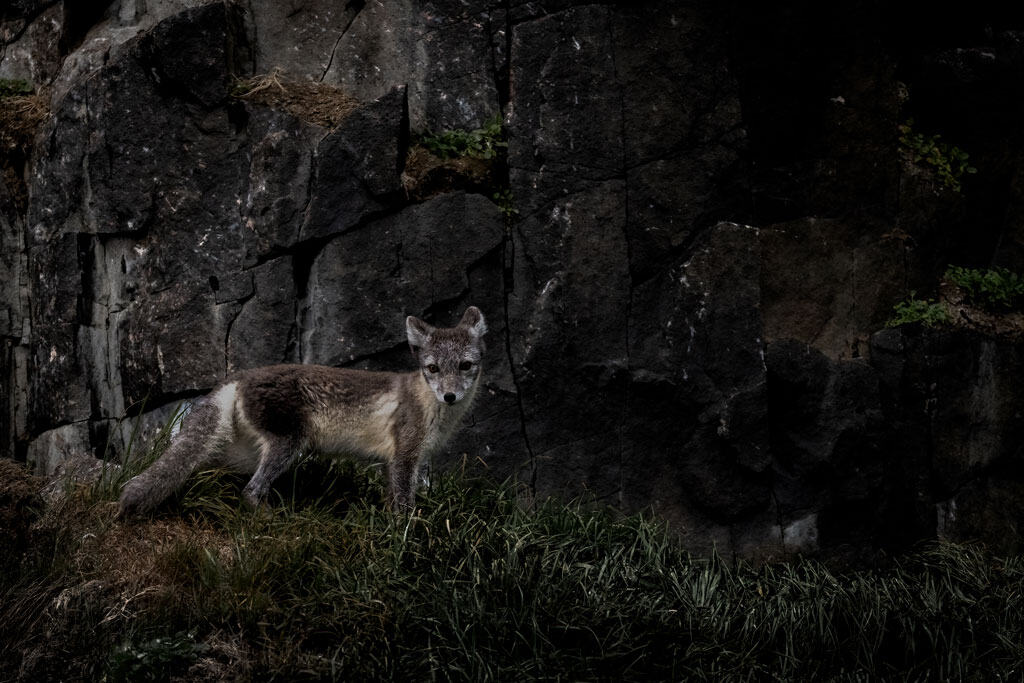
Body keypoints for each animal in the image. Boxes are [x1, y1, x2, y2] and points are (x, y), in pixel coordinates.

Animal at [117, 306, 487, 517]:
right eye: (433, 368)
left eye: (465, 366)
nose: (450, 396)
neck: (431, 407)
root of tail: (240, 377)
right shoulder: (405, 457)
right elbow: (404, 507)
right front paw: (408, 539)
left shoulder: (392, 461)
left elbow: (392, 501)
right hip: (288, 444)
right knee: (251, 491)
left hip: (242, 454)